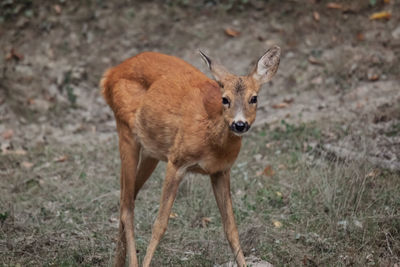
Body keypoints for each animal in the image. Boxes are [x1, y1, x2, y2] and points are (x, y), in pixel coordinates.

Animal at [100, 46, 282, 267]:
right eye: (225, 99)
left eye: (254, 98)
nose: (239, 124)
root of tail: (110, 74)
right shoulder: (177, 162)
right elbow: (160, 225)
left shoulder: (221, 171)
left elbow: (231, 228)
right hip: (126, 131)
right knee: (127, 207)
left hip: (152, 151)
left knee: (127, 197)